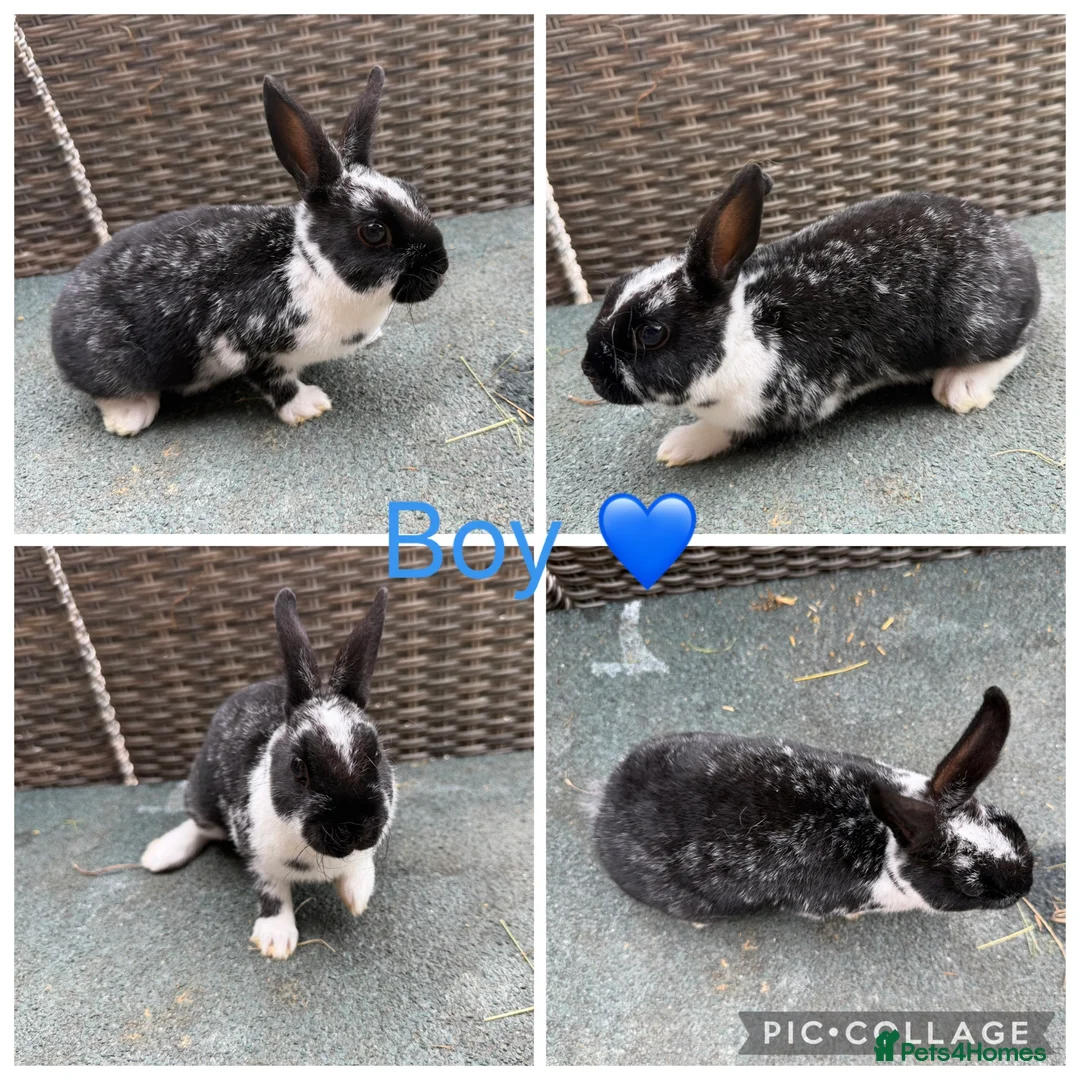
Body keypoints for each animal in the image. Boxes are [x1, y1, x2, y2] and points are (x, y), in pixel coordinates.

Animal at [52, 67, 448, 436]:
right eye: (374, 232)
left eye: (415, 194)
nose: (441, 266)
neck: (310, 266)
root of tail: (57, 326)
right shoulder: (240, 342)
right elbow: (274, 380)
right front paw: (309, 406)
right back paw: (130, 417)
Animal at [140, 586, 396, 959]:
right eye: (298, 767)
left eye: (377, 754)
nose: (353, 826)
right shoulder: (258, 855)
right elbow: (272, 892)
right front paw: (276, 940)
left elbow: (362, 865)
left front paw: (357, 897)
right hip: (202, 798)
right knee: (200, 826)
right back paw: (160, 855)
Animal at [581, 163, 1040, 465]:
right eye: (616, 285)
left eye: (652, 333)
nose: (588, 369)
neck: (746, 331)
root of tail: (1022, 256)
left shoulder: (774, 408)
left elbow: (725, 432)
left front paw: (677, 446)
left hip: (972, 325)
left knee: (1014, 346)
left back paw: (961, 388)